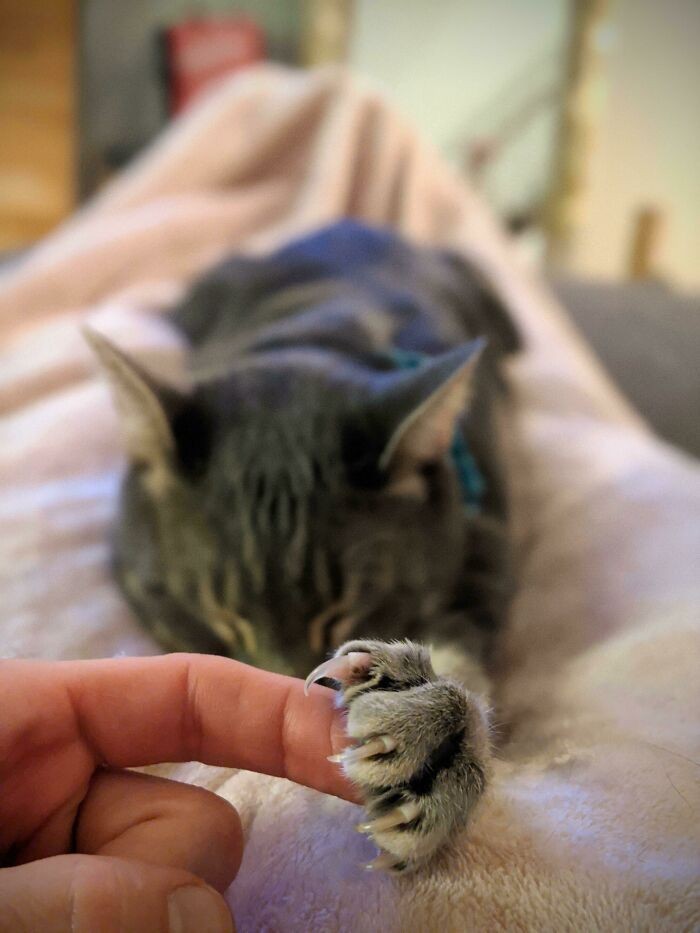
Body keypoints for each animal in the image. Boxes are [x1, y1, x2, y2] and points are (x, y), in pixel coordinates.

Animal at [87, 220, 516, 872]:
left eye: (343, 613)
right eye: (220, 618)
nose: (280, 687)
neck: (323, 332)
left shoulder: (490, 548)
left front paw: (436, 740)